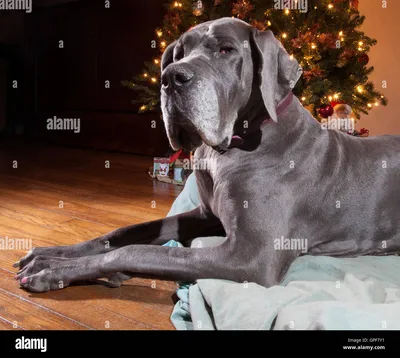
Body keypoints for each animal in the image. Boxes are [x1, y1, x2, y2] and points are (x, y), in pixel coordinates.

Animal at [13, 16, 400, 292]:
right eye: (179, 53)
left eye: (227, 50)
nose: (170, 77)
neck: (231, 147)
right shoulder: (204, 215)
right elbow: (122, 233)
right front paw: (52, 253)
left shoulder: (251, 254)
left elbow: (140, 250)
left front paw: (53, 270)